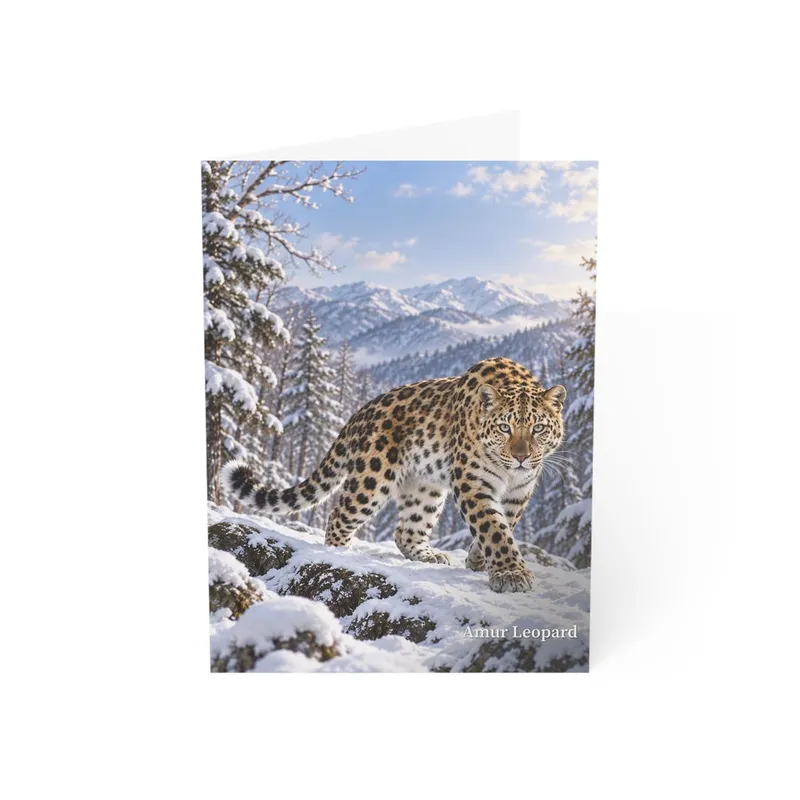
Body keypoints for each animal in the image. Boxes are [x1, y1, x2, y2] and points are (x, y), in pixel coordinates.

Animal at [221, 357, 566, 593]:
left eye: (538, 428)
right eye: (505, 427)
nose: (521, 456)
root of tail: (361, 411)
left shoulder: (519, 491)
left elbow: (503, 526)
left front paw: (479, 561)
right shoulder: (473, 483)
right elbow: (493, 528)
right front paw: (511, 574)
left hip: (426, 487)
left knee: (406, 530)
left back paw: (428, 555)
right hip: (372, 477)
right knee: (339, 515)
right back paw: (339, 554)